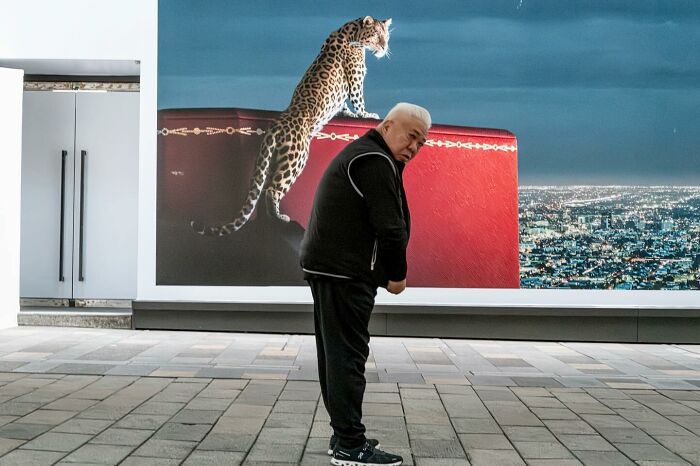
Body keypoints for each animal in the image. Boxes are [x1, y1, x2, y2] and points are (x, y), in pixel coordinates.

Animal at [191, 16, 392, 236]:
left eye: (387, 35)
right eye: (377, 35)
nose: (385, 47)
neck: (352, 31)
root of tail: (277, 125)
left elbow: (343, 105)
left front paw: (347, 113)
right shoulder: (355, 79)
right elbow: (358, 100)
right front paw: (367, 114)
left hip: (275, 157)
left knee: (266, 186)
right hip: (296, 157)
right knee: (273, 189)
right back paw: (280, 217)